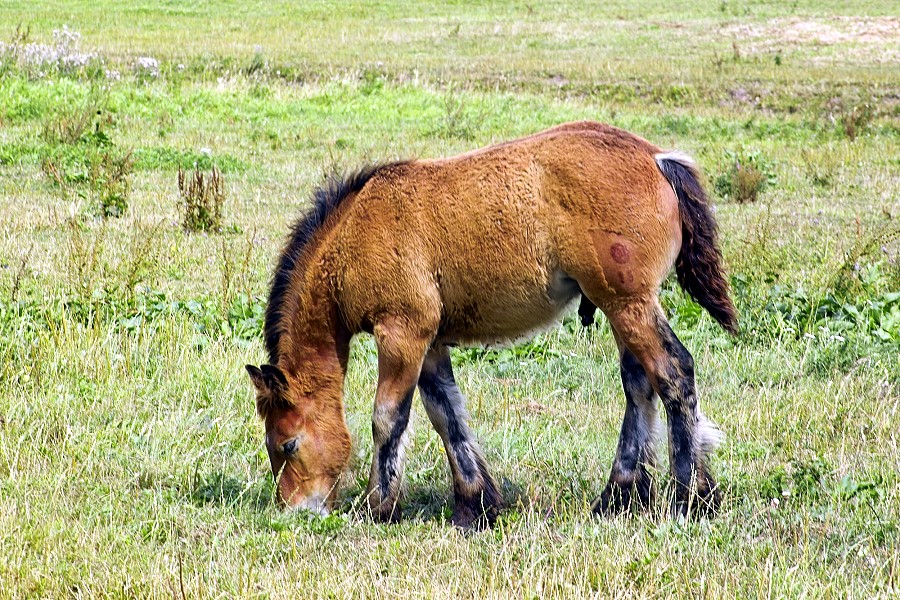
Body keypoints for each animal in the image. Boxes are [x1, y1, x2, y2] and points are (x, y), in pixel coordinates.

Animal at [246, 122, 740, 528]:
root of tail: (658, 159)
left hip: (628, 304)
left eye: (287, 445)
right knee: (639, 386)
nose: (297, 511)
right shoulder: (431, 343)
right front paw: (475, 504)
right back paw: (618, 498)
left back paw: (690, 499)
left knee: (673, 373)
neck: (357, 233)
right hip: (620, 307)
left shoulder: (402, 332)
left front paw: (379, 508)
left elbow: (388, 418)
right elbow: (446, 415)